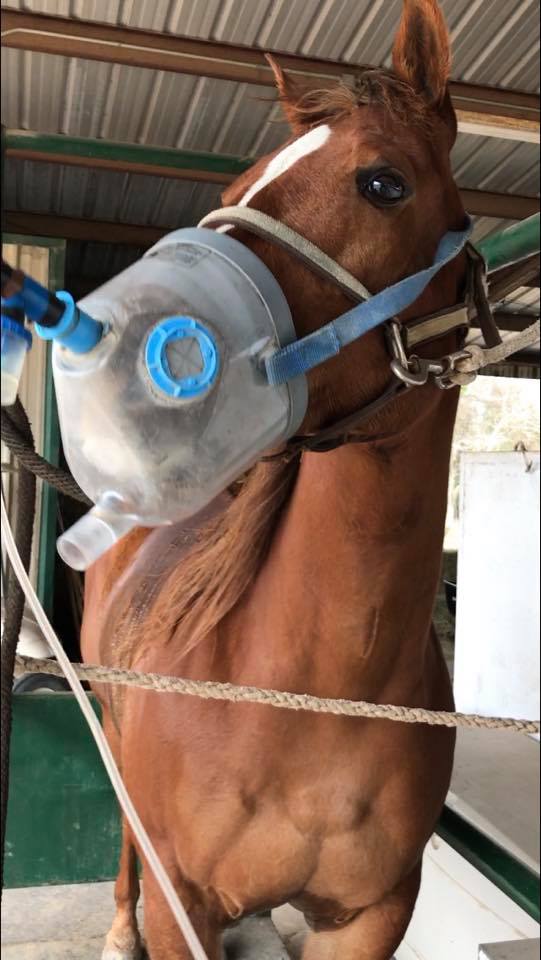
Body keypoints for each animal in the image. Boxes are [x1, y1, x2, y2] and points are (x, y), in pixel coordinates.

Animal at [83, 2, 470, 957]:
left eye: (384, 183)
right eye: (236, 187)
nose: (128, 342)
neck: (322, 693)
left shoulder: (372, 916)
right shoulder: (184, 905)